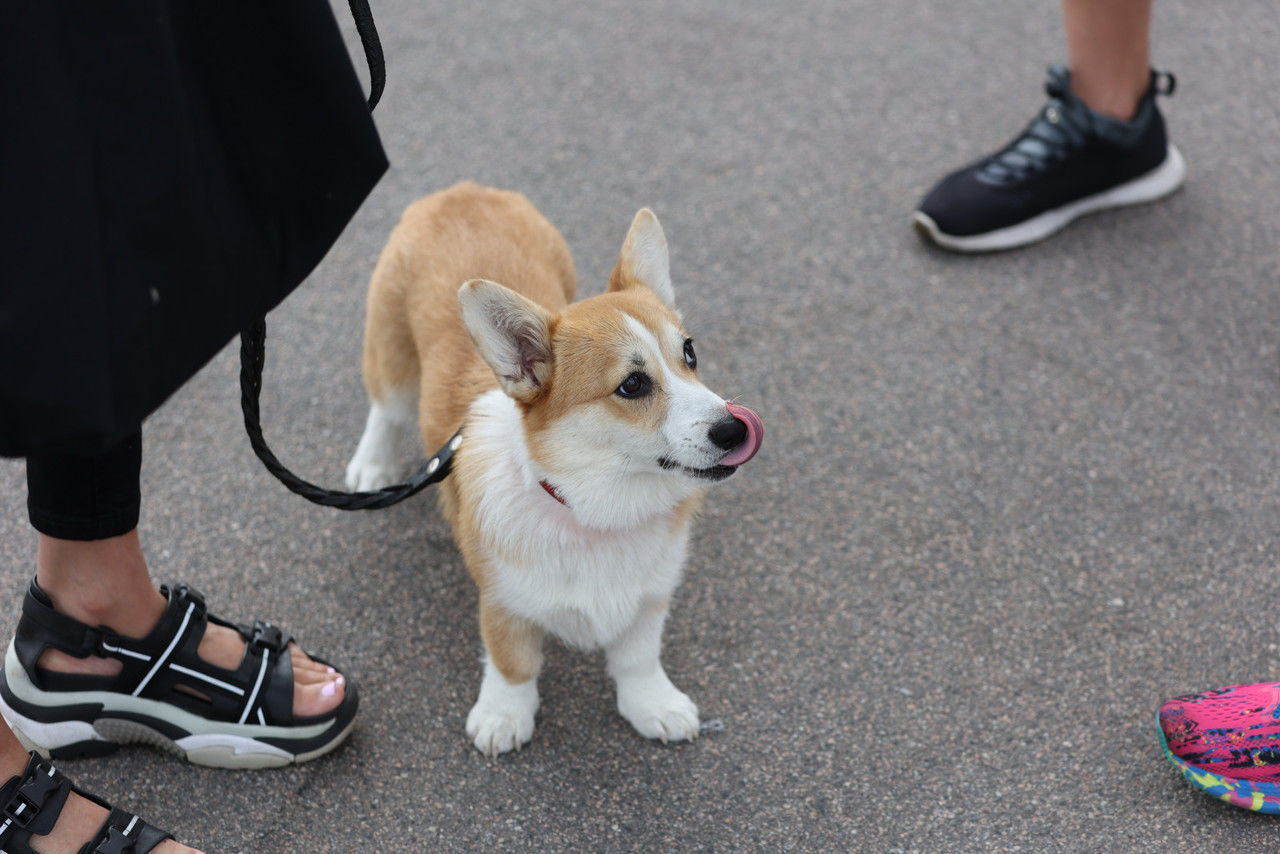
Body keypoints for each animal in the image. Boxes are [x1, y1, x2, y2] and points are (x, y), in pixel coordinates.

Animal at [343, 184, 757, 757]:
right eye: (632, 385)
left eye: (690, 354)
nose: (735, 430)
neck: (596, 512)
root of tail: (462, 191)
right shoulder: (502, 601)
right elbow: (512, 663)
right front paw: (502, 717)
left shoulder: (651, 597)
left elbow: (638, 657)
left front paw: (654, 705)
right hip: (392, 353)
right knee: (386, 408)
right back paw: (372, 465)